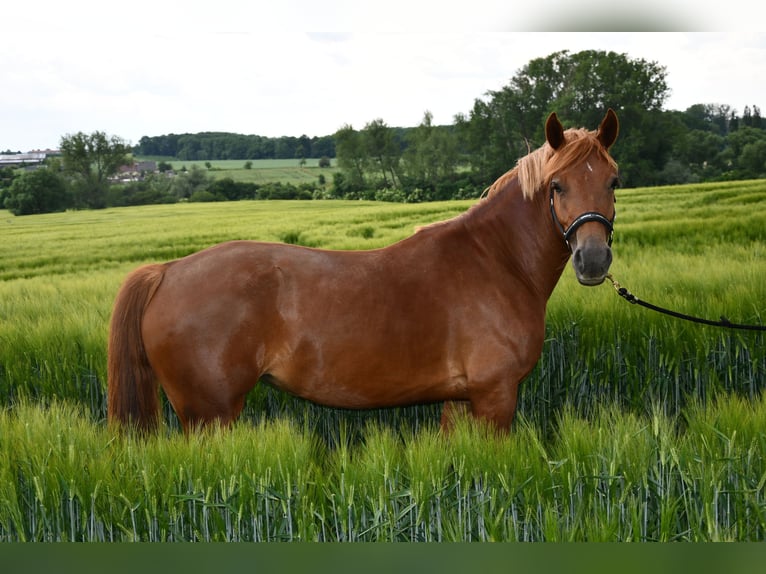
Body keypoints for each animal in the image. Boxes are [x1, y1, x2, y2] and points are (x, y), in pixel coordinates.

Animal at [107, 109, 620, 434]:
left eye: (613, 181)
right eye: (556, 185)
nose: (593, 259)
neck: (496, 261)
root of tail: (167, 272)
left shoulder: (462, 400)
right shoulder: (496, 396)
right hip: (209, 416)